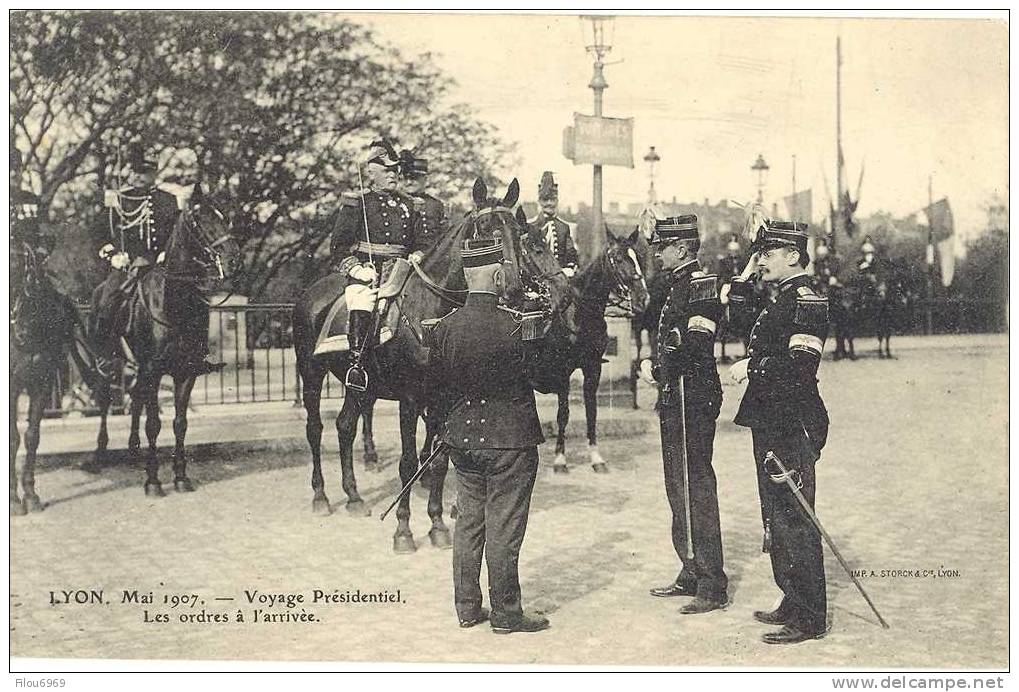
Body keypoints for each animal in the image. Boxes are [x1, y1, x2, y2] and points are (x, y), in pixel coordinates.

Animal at [11, 243, 105, 513]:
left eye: (19, 270)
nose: (17, 329)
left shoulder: (41, 383)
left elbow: (32, 437)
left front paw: (30, 495)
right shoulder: (12, 387)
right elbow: (12, 439)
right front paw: (13, 500)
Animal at [88, 186, 238, 495]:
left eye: (223, 217)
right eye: (199, 220)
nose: (233, 260)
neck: (175, 303)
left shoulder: (185, 372)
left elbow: (180, 423)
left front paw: (180, 476)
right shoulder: (153, 370)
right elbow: (154, 424)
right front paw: (153, 481)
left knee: (135, 399)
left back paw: (134, 449)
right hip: (108, 363)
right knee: (106, 401)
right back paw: (99, 453)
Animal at [291, 181, 529, 554]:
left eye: (517, 232)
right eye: (486, 229)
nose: (515, 289)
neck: (430, 312)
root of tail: (311, 293)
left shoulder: (443, 401)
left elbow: (439, 462)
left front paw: (438, 525)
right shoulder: (411, 400)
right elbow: (408, 463)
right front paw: (403, 530)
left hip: (358, 384)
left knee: (345, 426)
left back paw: (354, 497)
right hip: (311, 374)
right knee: (315, 429)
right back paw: (321, 496)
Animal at [517, 224, 644, 472]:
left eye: (637, 258)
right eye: (617, 258)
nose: (643, 297)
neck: (581, 314)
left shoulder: (593, 367)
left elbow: (591, 411)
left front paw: (596, 457)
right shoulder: (562, 372)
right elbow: (563, 414)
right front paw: (560, 459)